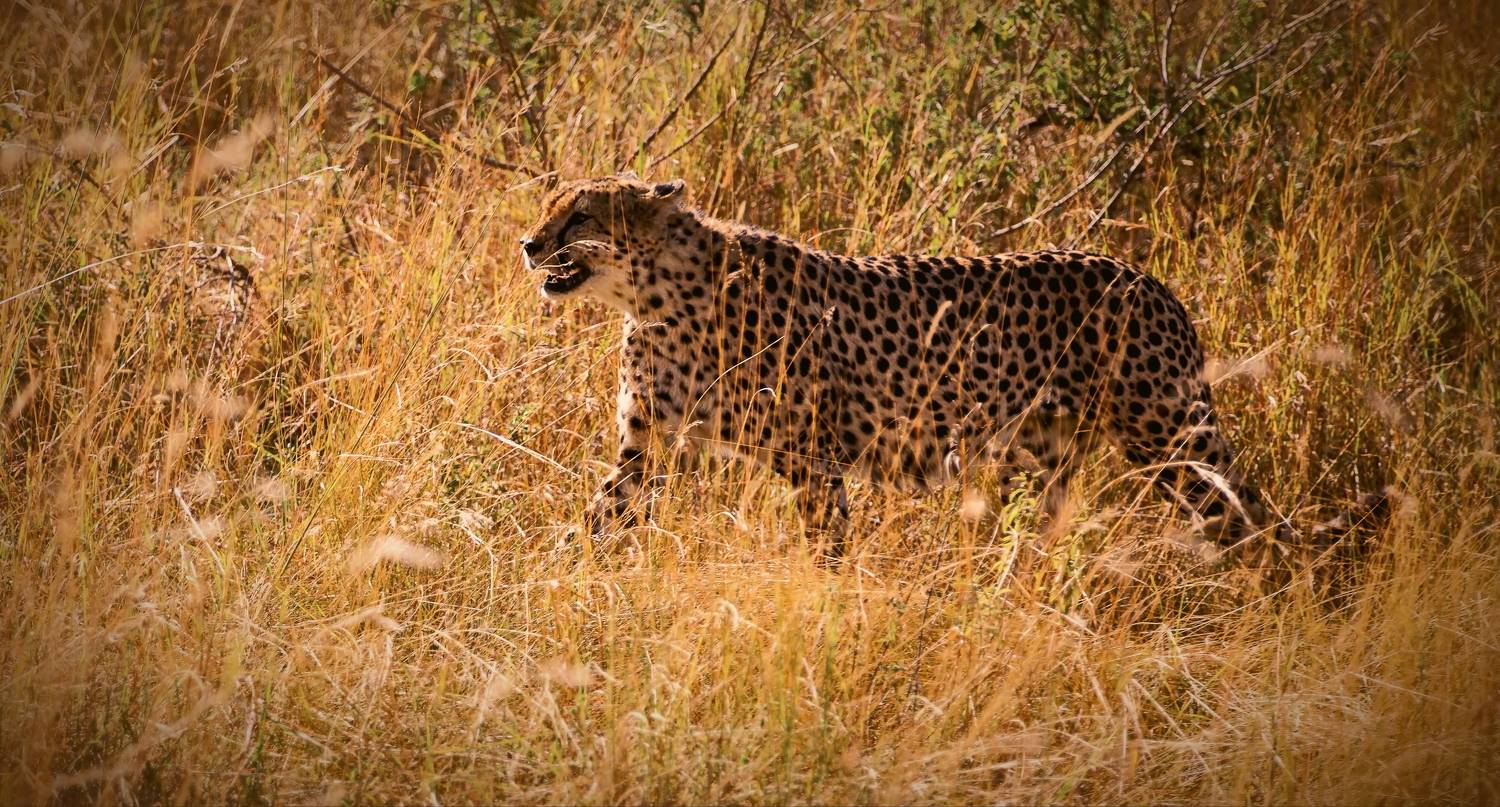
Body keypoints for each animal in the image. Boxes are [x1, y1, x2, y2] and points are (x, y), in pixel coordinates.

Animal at [520, 173, 1388, 561]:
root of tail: (1145, 275)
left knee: (1239, 515)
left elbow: (825, 542)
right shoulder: (649, 444)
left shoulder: (811, 456)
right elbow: (601, 514)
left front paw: (825, 597)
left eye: (580, 214)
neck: (656, 296)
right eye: (552, 208)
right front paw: (561, 580)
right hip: (1048, 450)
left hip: (1166, 433)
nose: (529, 244)